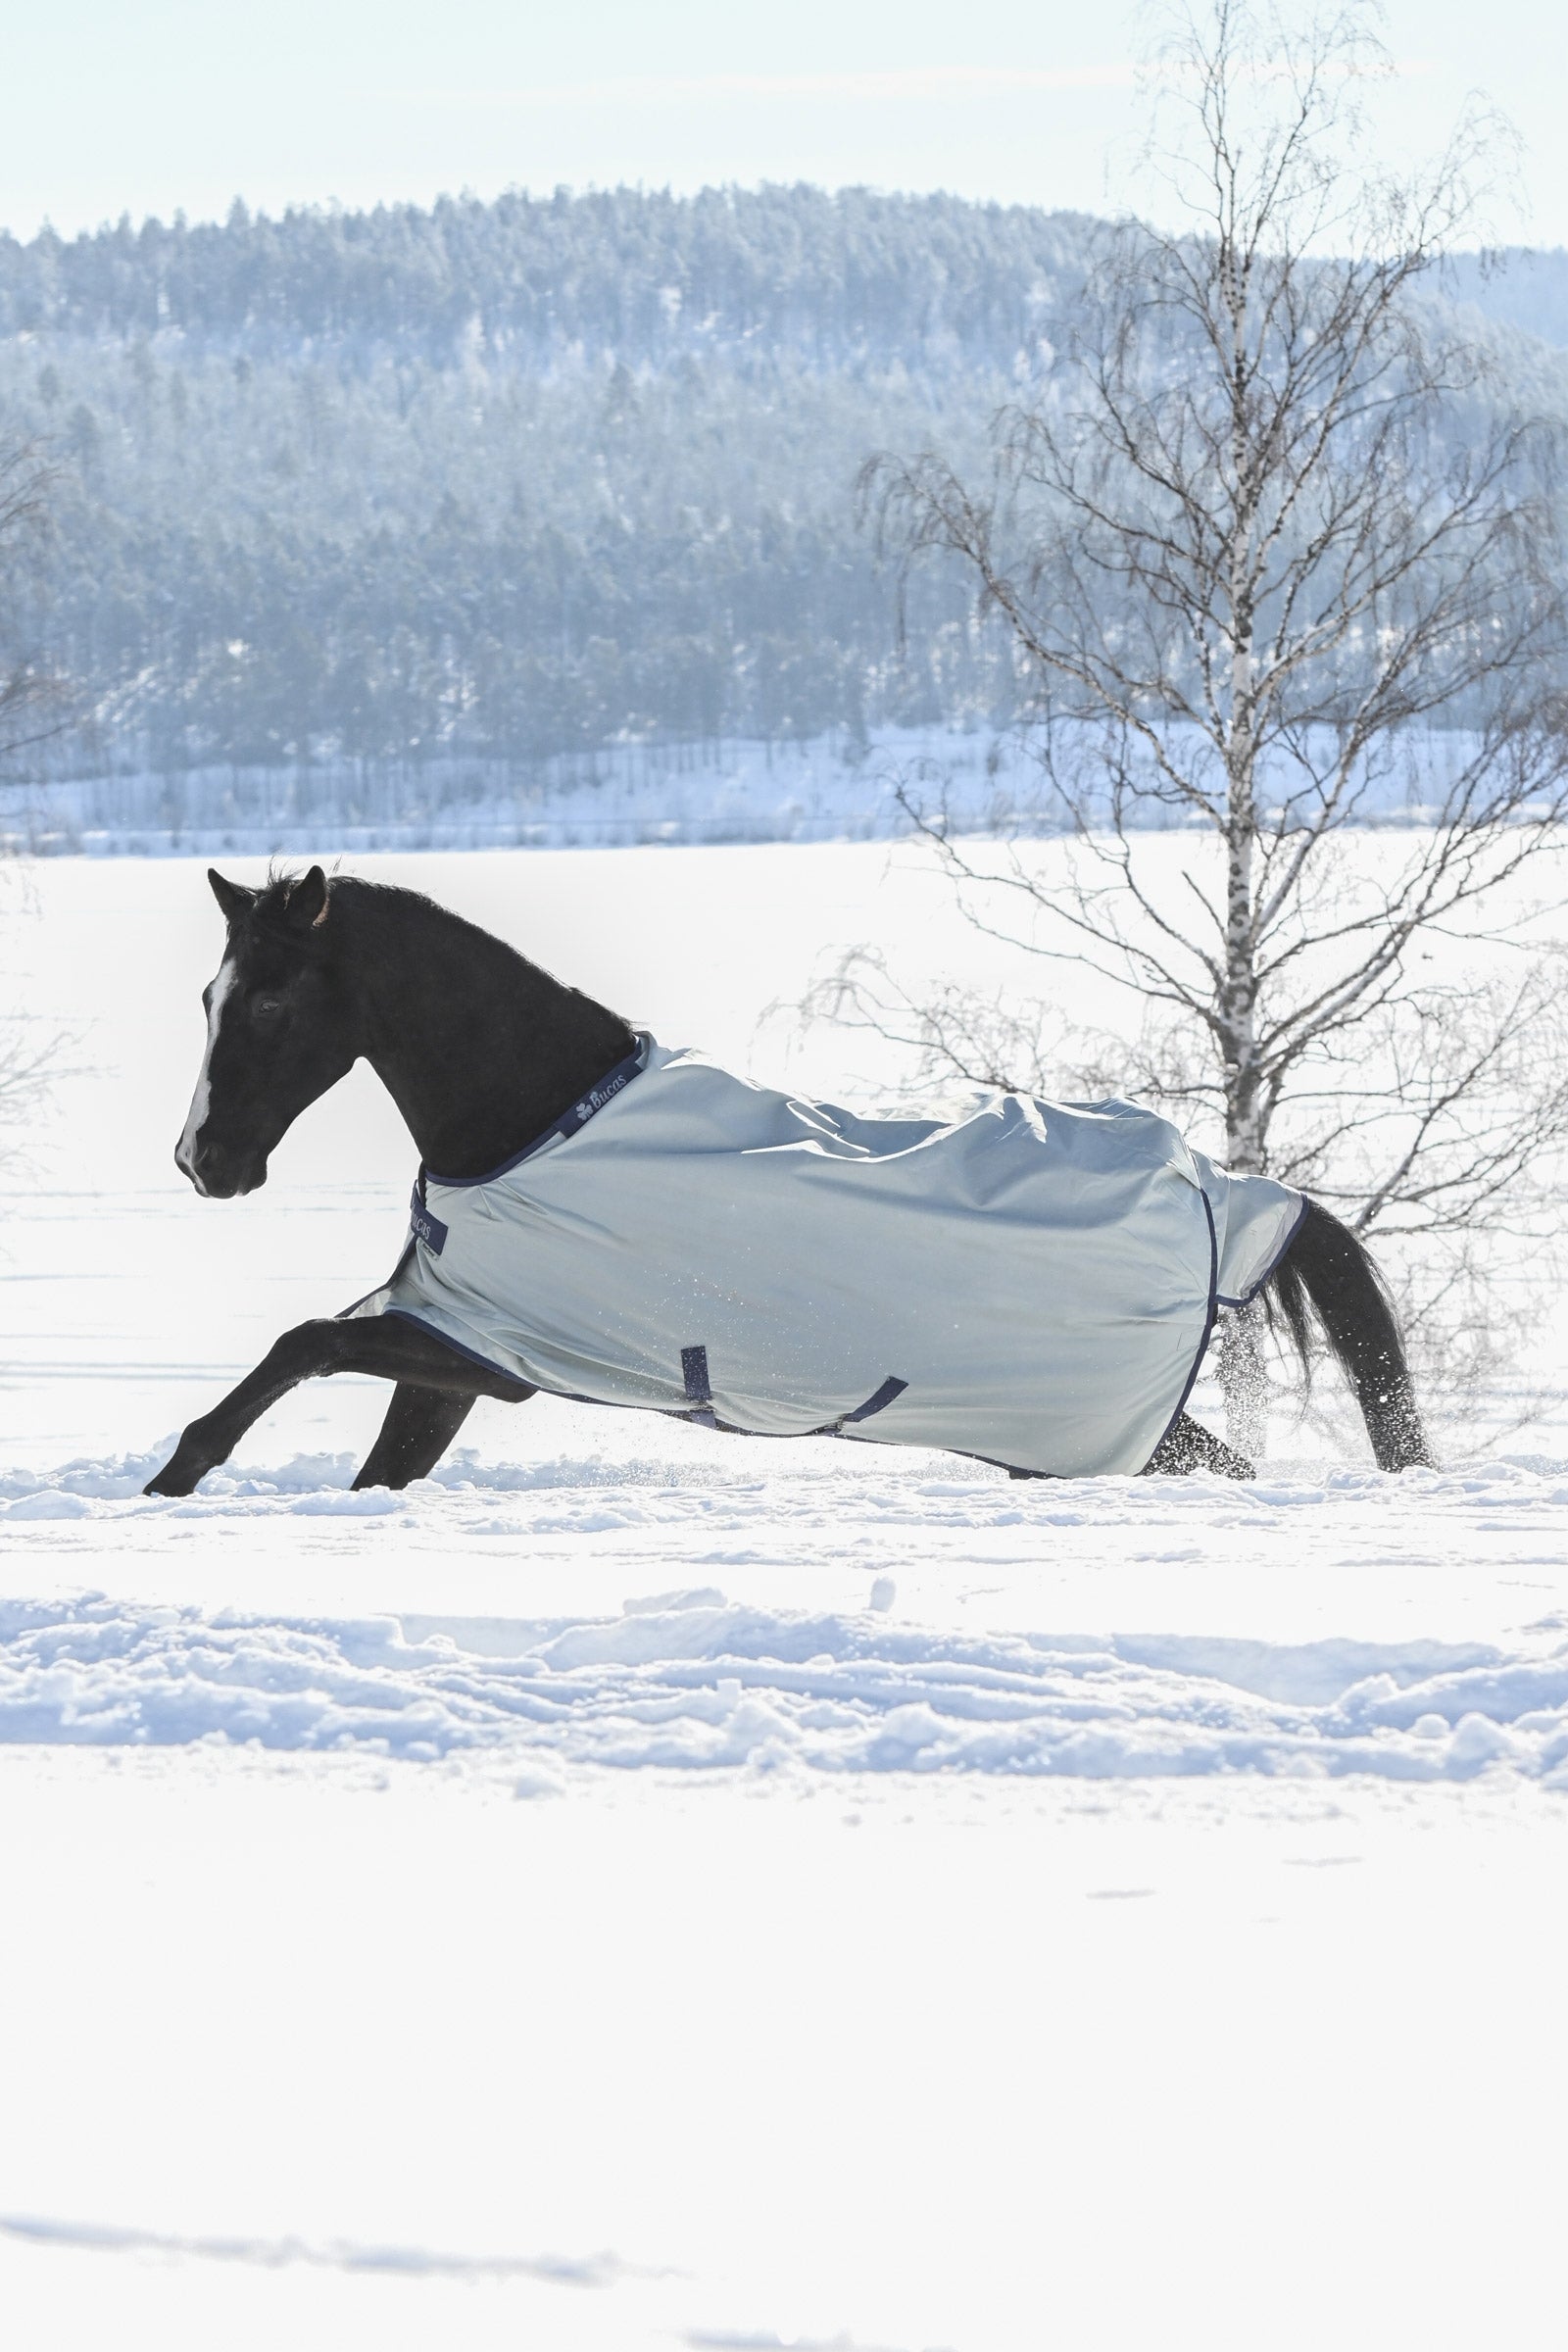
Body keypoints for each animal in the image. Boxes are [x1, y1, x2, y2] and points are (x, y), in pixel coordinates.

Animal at [143, 866, 1431, 1498]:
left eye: (270, 999)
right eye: (207, 995)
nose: (204, 1163)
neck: (527, 1123)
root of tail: (1222, 1192)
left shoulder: (487, 1348)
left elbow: (300, 1344)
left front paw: (174, 1477)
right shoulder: (456, 1344)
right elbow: (371, 1458)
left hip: (1096, 1431)